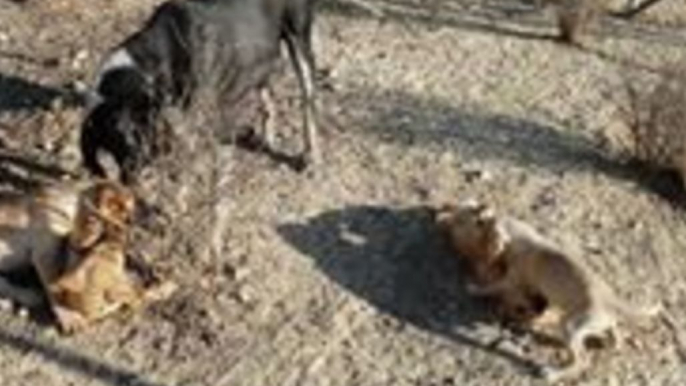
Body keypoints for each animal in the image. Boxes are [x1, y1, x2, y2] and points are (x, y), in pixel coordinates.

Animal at [82, 0, 322, 182]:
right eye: (110, 142)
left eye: (133, 134)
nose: (130, 180)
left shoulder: (198, 113)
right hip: (262, 53)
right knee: (267, 96)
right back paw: (267, 139)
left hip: (299, 36)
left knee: (308, 101)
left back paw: (311, 159)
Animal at [438, 201, 664, 382]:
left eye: (484, 223)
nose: (484, 208)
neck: (525, 238)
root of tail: (612, 300)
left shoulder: (512, 280)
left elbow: (492, 287)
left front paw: (473, 288)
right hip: (596, 322)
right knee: (615, 332)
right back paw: (612, 342)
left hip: (570, 325)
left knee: (582, 360)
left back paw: (553, 373)